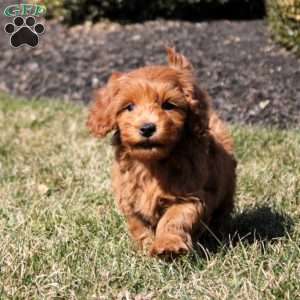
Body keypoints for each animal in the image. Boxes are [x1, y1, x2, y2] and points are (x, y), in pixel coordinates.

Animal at [86, 48, 237, 256]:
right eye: (129, 107)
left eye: (168, 105)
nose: (147, 128)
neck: (151, 164)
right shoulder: (129, 199)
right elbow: (138, 225)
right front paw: (146, 248)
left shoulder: (190, 195)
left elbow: (174, 219)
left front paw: (167, 245)